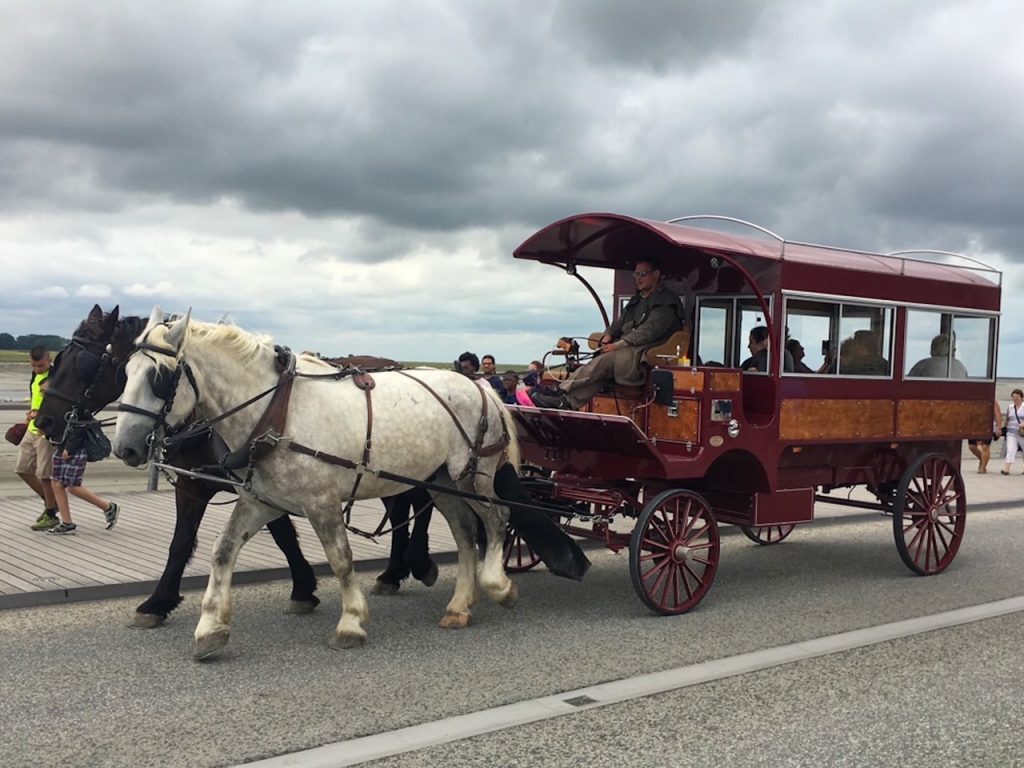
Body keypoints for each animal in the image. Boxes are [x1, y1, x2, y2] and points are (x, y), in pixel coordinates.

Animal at [114, 307, 520, 663]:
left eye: (158, 377)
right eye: (125, 371)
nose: (124, 448)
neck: (276, 409)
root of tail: (480, 387)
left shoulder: (321, 500)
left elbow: (340, 559)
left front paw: (351, 622)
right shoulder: (259, 501)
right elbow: (223, 551)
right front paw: (210, 628)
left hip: (471, 475)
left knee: (498, 518)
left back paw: (497, 584)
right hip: (441, 481)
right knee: (466, 533)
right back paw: (459, 605)